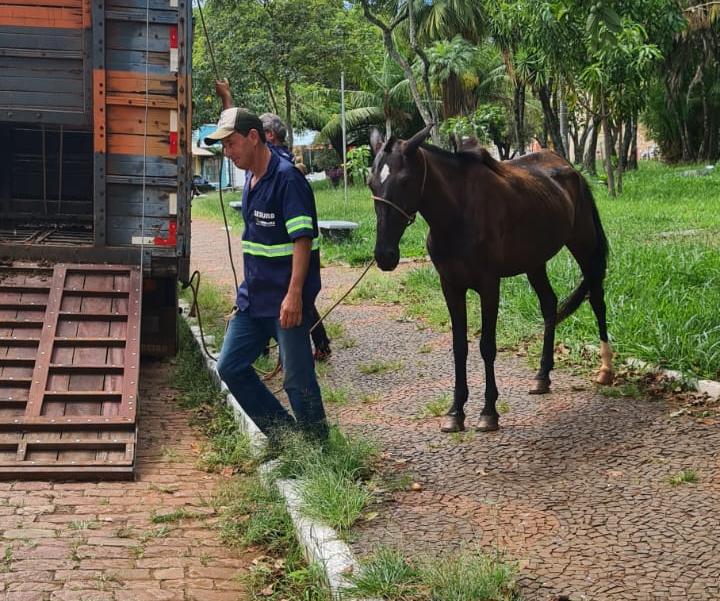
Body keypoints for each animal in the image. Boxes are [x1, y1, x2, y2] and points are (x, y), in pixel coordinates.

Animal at [372, 125, 612, 432]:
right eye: (371, 183)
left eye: (404, 181)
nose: (385, 255)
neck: (458, 215)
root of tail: (571, 170)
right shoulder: (451, 287)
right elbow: (459, 347)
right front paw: (455, 412)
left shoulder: (489, 286)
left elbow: (487, 346)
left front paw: (488, 411)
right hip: (534, 262)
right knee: (549, 304)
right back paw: (542, 376)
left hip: (583, 246)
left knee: (597, 300)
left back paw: (606, 370)